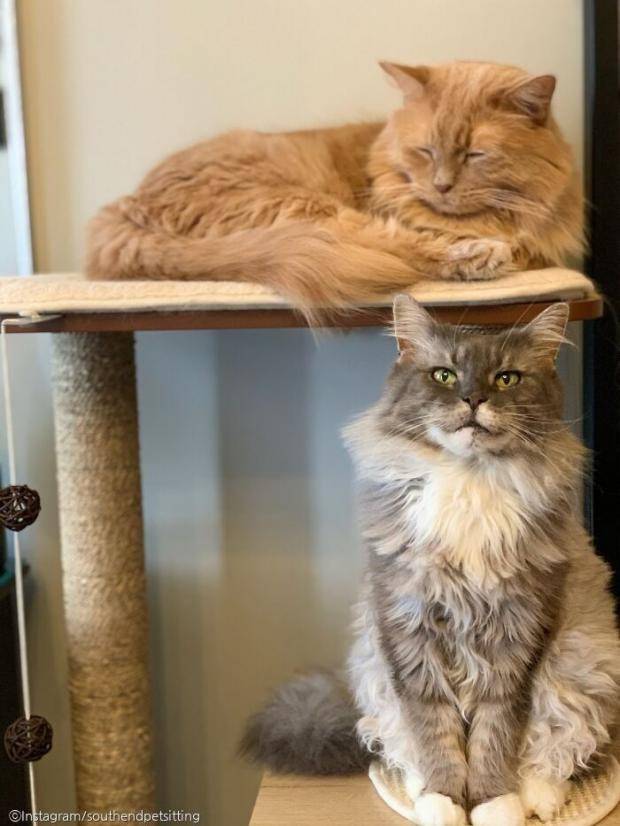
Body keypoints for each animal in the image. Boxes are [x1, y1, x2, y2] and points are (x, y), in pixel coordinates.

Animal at [86, 62, 583, 317]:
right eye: (425, 151)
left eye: (475, 155)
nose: (441, 186)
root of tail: (125, 205)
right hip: (300, 207)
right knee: (395, 247)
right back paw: (478, 256)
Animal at [242, 298, 620, 826]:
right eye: (444, 375)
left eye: (506, 378)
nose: (473, 399)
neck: (469, 478)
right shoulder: (409, 626)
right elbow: (432, 730)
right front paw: (445, 800)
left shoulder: (520, 632)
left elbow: (497, 733)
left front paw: (493, 802)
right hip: (373, 669)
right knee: (395, 742)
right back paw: (420, 791)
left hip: (580, 666)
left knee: (561, 752)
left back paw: (537, 799)